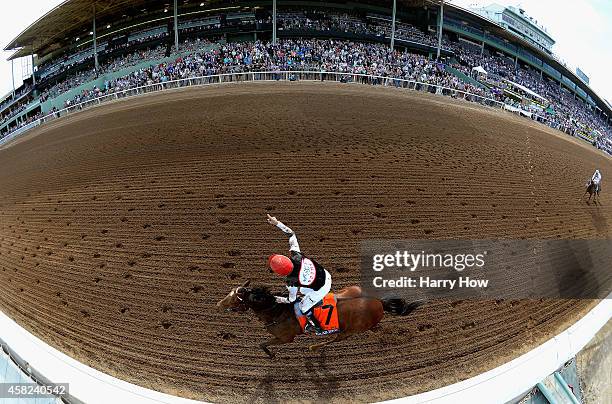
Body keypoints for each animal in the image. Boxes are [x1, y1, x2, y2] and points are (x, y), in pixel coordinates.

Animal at [216, 280, 426, 358]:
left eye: (234, 298)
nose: (218, 304)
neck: (277, 310)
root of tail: (378, 302)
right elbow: (261, 343)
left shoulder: (286, 338)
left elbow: (262, 344)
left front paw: (271, 355)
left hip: (351, 330)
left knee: (336, 338)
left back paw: (314, 347)